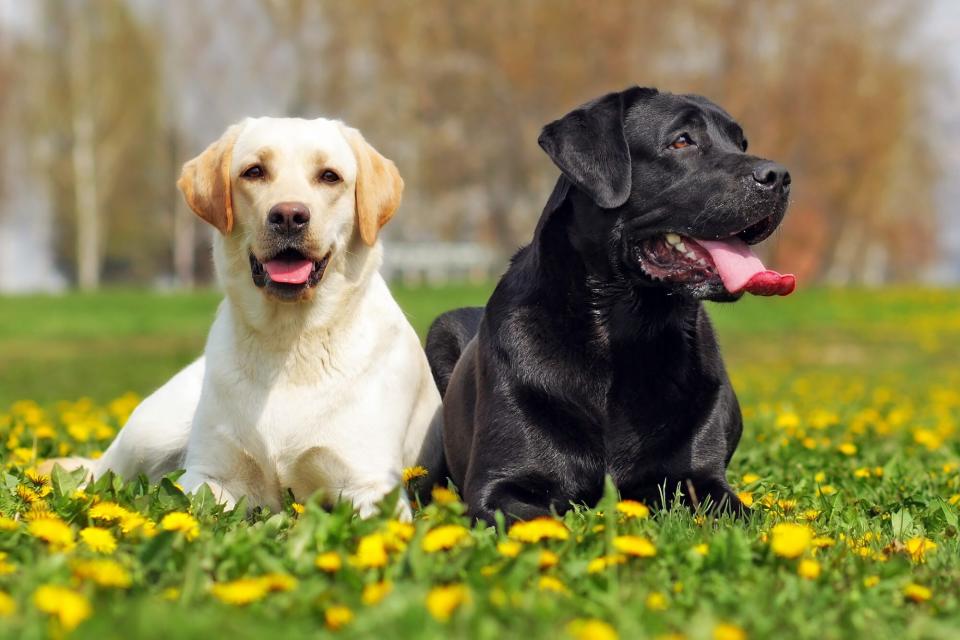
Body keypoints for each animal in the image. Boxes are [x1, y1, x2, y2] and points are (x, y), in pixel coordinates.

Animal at [41, 116, 438, 520]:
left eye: (330, 176)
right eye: (254, 171)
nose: (289, 216)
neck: (288, 343)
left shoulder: (371, 486)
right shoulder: (209, 475)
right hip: (149, 433)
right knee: (99, 473)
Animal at [420, 86, 796, 524]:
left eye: (740, 143)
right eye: (682, 141)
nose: (779, 177)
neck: (624, 333)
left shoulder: (702, 480)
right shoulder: (496, 487)